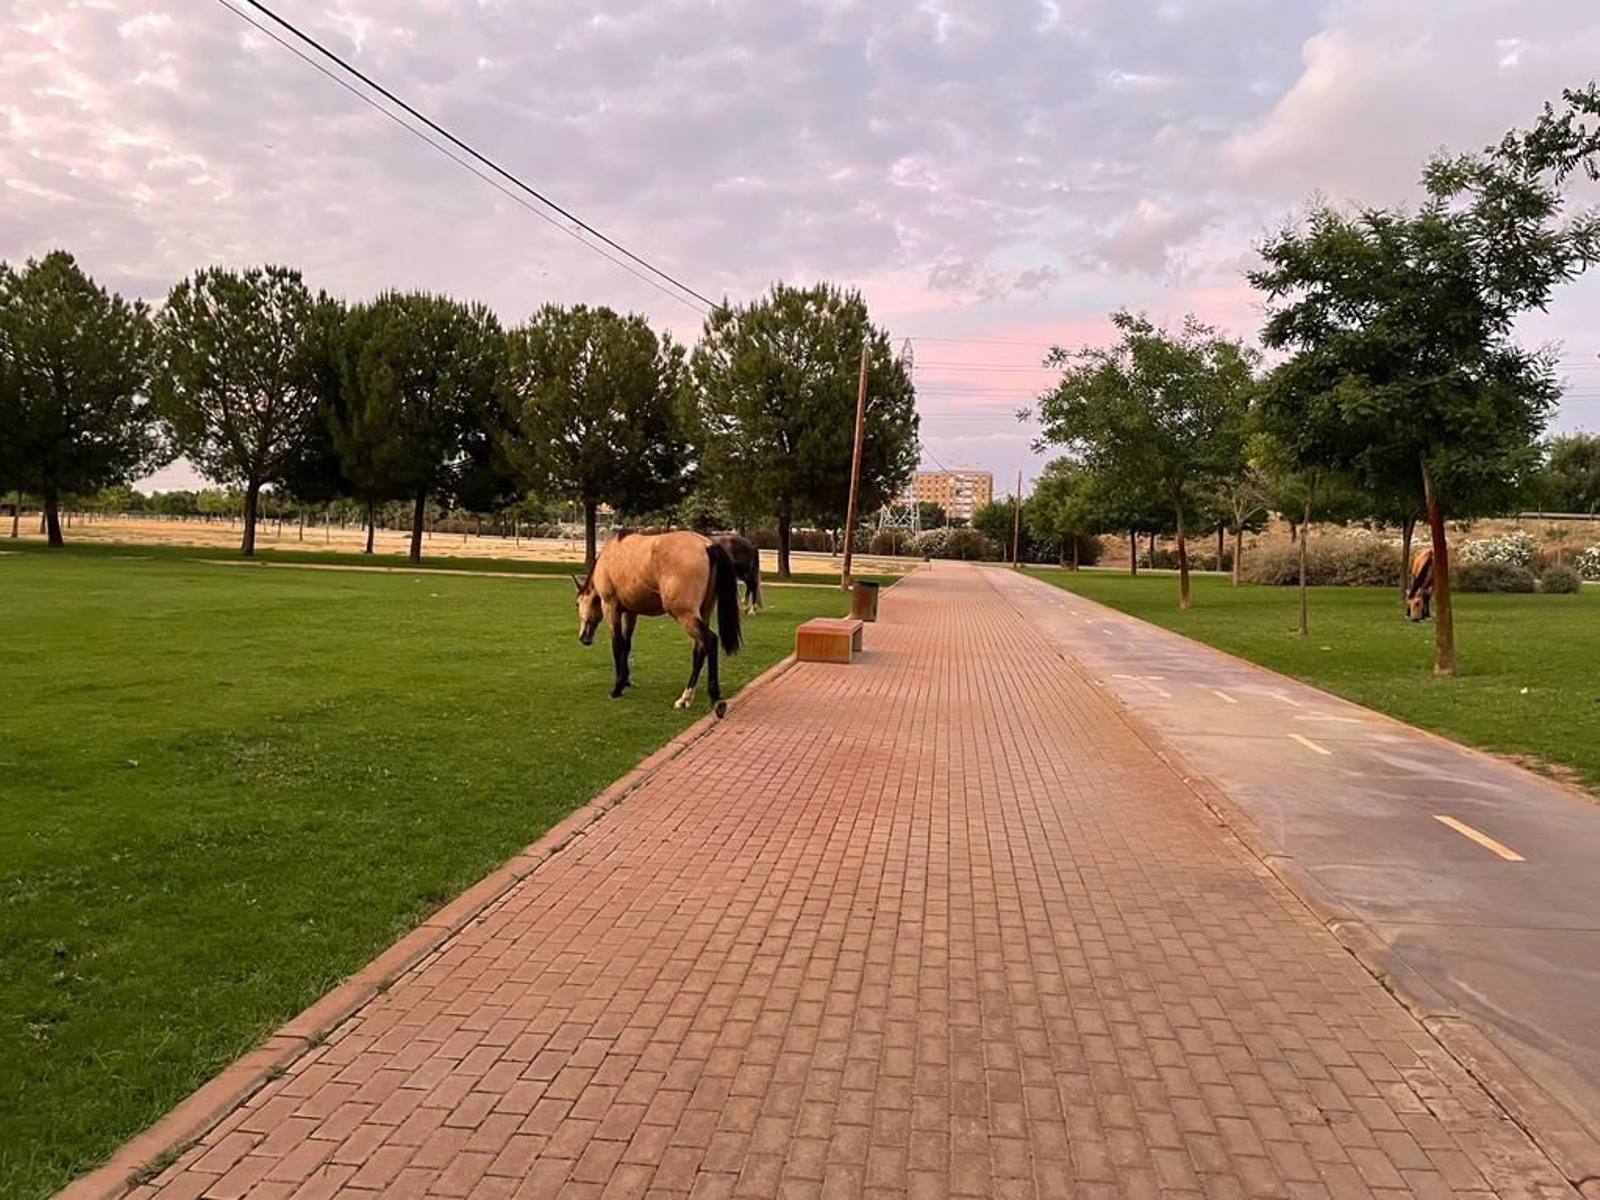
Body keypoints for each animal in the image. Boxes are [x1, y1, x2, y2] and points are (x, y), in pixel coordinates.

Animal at [575, 529, 743, 717]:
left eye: (577, 604)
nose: (583, 638)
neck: (609, 555)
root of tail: (706, 545)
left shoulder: (610, 607)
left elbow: (617, 645)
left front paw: (617, 687)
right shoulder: (631, 613)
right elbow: (626, 645)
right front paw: (626, 680)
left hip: (685, 615)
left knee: (710, 640)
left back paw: (715, 698)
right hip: (702, 613)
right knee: (700, 650)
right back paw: (685, 698)